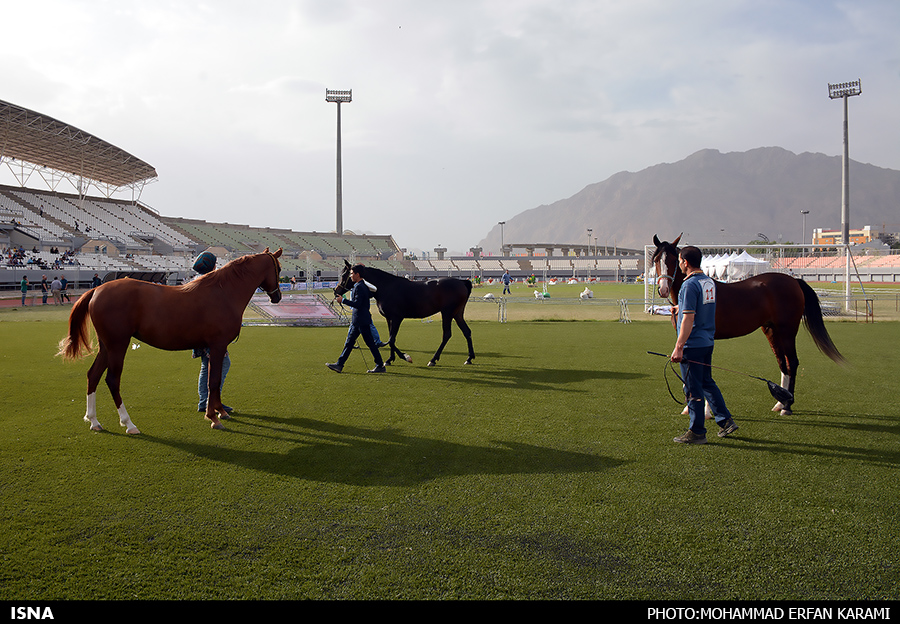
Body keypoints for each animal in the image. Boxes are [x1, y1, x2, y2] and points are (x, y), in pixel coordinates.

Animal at [58, 246, 284, 432]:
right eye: (279, 269)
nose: (277, 297)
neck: (223, 292)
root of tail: (97, 289)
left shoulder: (212, 349)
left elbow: (214, 380)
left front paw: (220, 411)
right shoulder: (218, 346)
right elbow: (213, 380)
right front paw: (213, 417)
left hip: (106, 346)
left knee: (93, 375)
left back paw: (94, 421)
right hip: (117, 345)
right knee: (112, 380)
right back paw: (128, 423)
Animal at [334, 260, 474, 368]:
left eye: (345, 274)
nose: (336, 291)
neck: (386, 287)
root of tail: (462, 282)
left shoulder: (397, 318)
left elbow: (391, 340)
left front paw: (405, 357)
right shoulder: (389, 318)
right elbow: (391, 338)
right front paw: (389, 360)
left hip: (447, 313)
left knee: (447, 334)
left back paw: (433, 360)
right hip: (457, 313)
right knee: (466, 331)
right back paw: (469, 358)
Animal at [652, 234, 844, 414]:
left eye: (672, 259)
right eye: (656, 260)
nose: (663, 289)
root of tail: (794, 281)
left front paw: (706, 411)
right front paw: (690, 408)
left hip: (788, 331)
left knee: (792, 363)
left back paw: (787, 406)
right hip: (771, 331)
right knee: (782, 363)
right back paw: (780, 401)